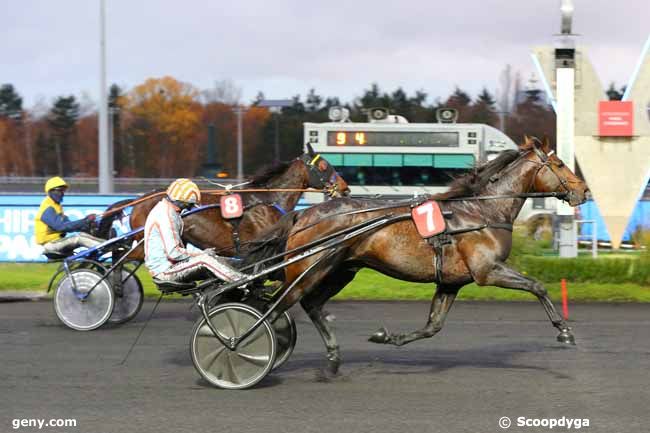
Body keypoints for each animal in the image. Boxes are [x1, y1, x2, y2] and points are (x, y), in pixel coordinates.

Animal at [247, 138, 588, 374]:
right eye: (559, 164)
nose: (583, 191)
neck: (483, 211)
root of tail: (303, 216)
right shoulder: (487, 270)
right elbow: (537, 286)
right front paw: (565, 331)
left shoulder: (451, 282)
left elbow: (432, 326)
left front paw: (387, 338)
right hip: (311, 268)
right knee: (274, 308)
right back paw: (246, 346)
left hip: (340, 270)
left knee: (310, 305)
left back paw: (331, 357)